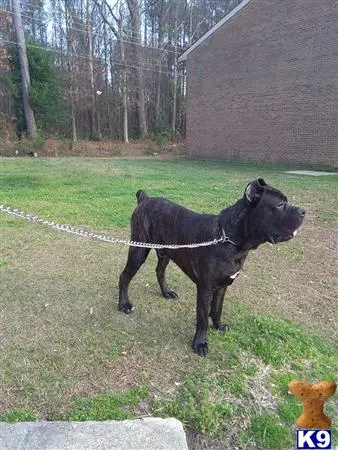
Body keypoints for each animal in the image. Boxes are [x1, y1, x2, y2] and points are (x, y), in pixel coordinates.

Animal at [119, 178, 306, 356]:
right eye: (280, 204)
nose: (304, 211)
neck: (230, 239)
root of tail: (145, 199)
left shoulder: (222, 286)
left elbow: (217, 309)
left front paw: (219, 326)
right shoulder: (205, 288)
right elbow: (202, 318)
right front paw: (199, 343)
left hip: (166, 252)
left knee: (159, 271)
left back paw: (166, 292)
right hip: (139, 250)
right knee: (124, 276)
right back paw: (124, 305)